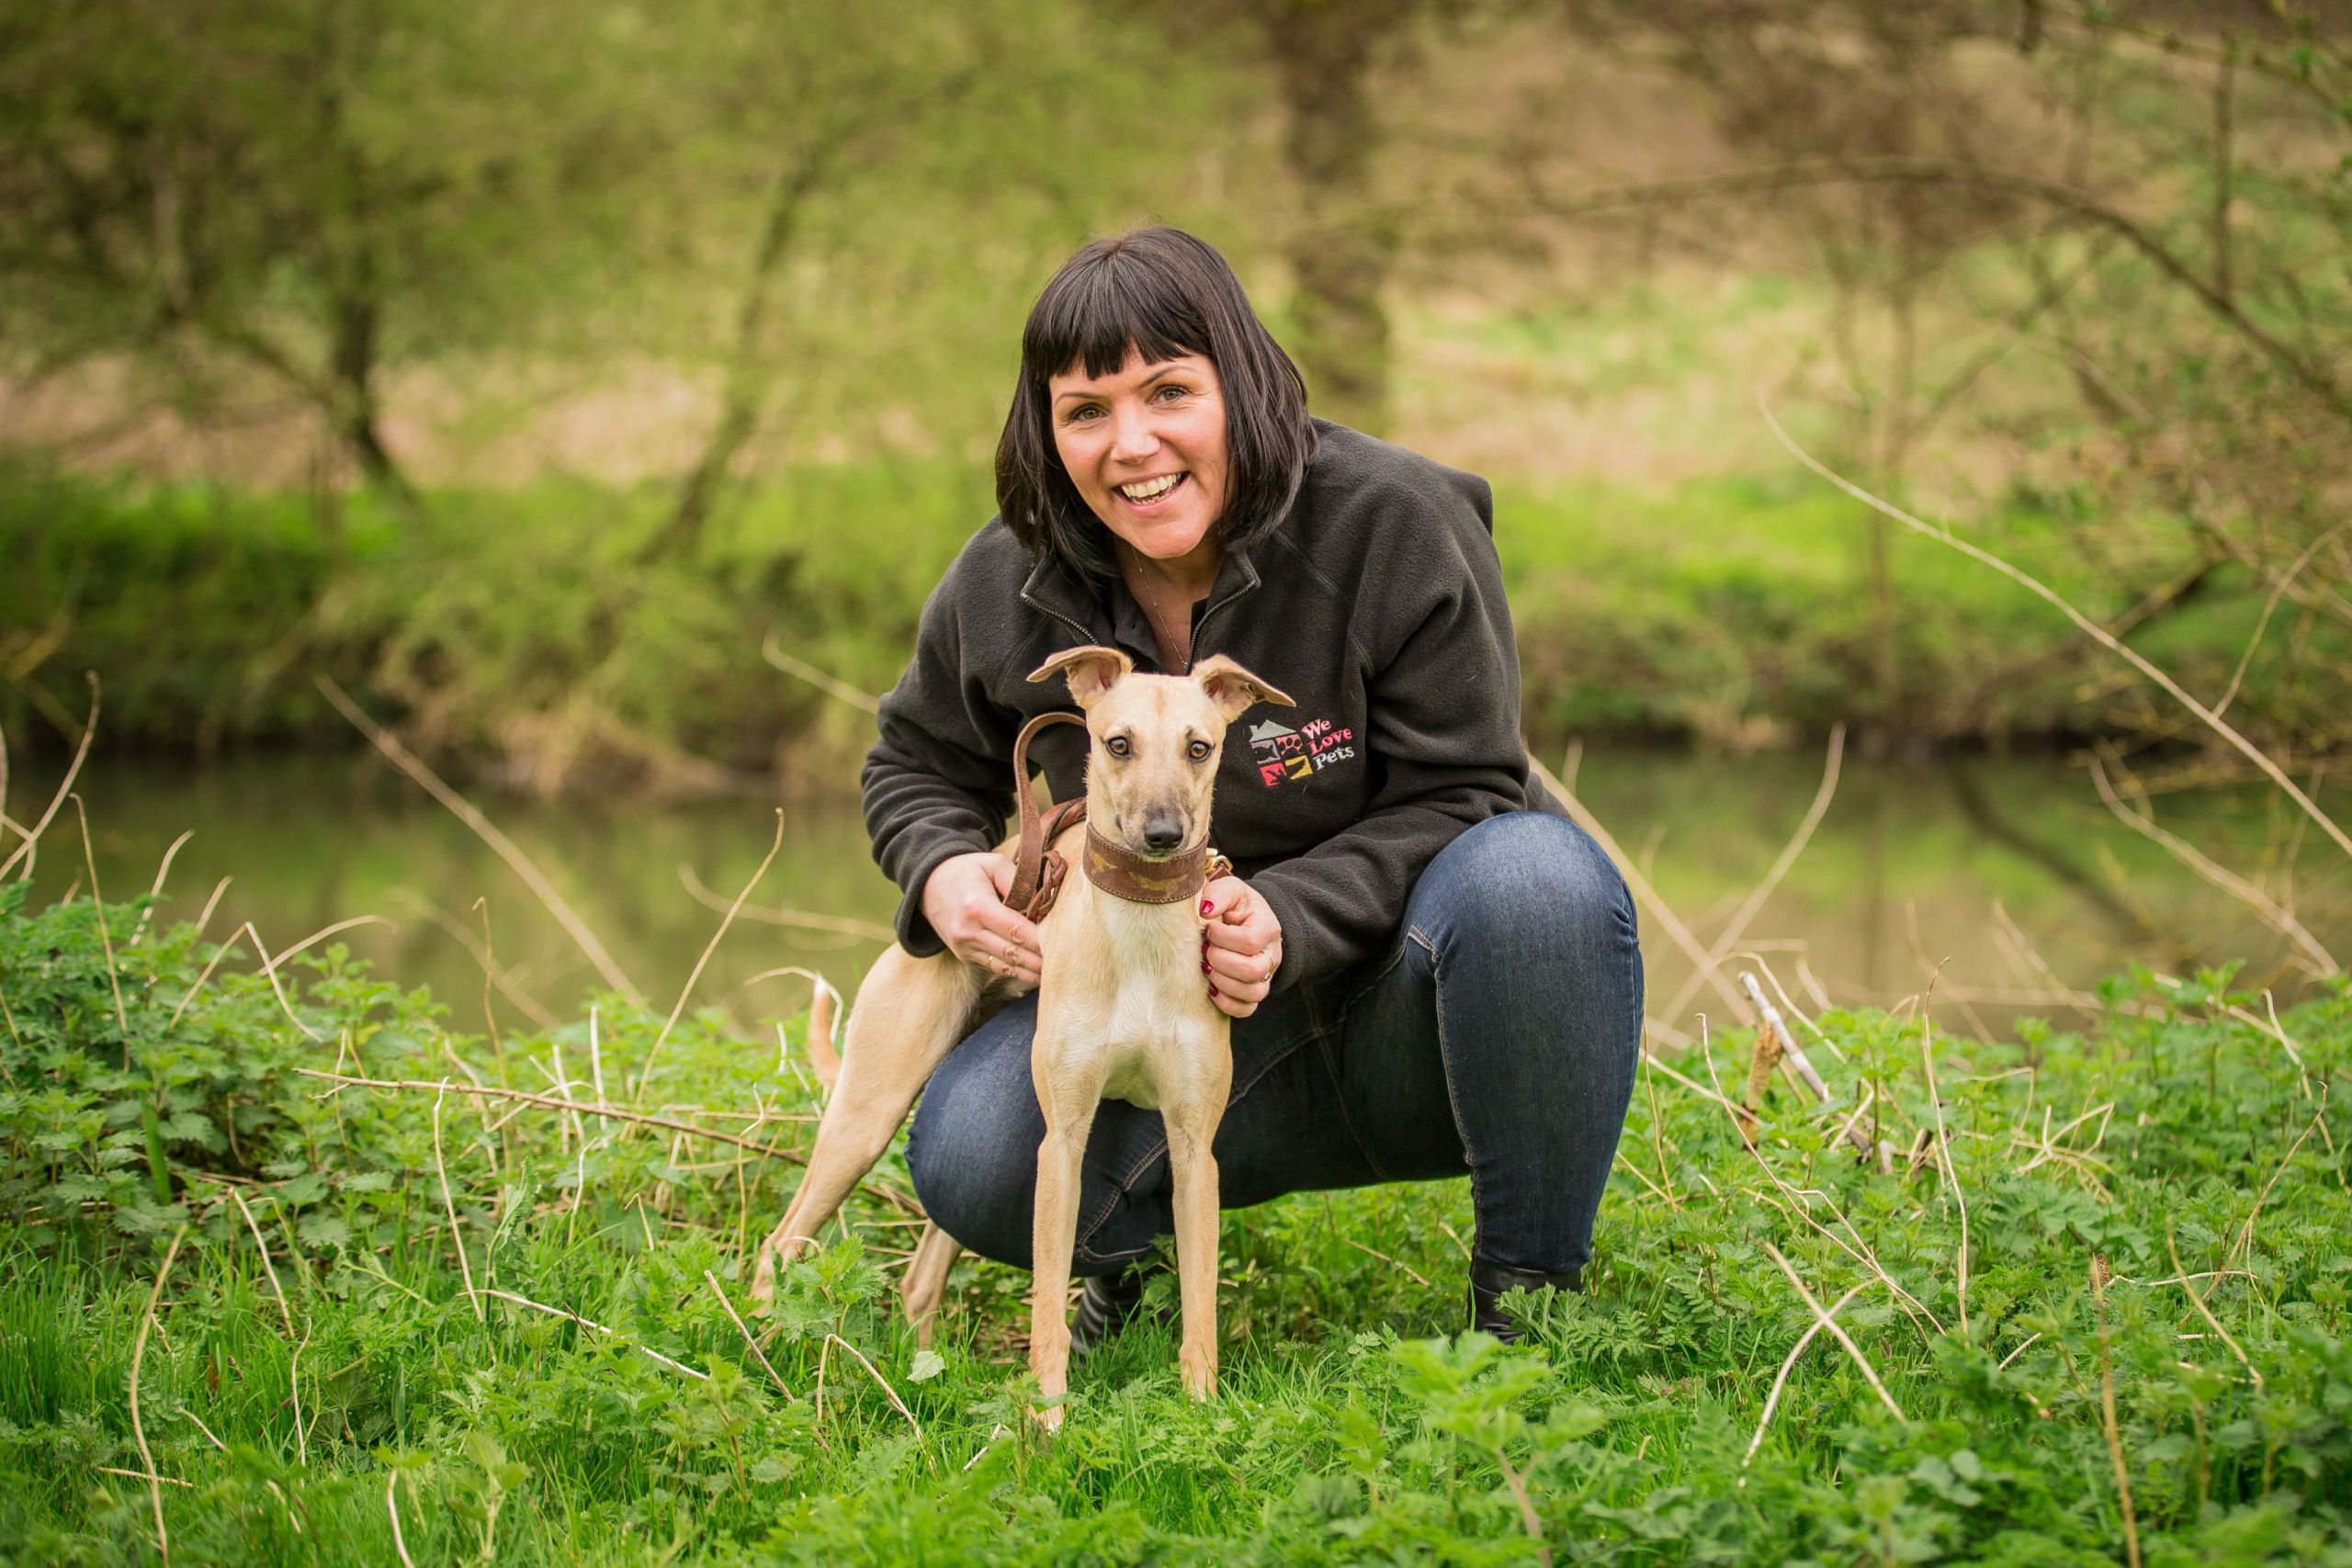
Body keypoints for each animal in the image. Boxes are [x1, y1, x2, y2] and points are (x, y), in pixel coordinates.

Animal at [752, 644, 1298, 1429]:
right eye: (1117, 743)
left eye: (1199, 747)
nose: (1163, 835)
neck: (1139, 925)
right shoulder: (1060, 1143)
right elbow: (1047, 1309)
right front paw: (1047, 1421)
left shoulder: (1196, 1150)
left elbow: (1199, 1308)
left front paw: (1201, 1416)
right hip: (862, 1120)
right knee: (778, 1244)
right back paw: (767, 1357)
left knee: (919, 1278)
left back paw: (923, 1369)